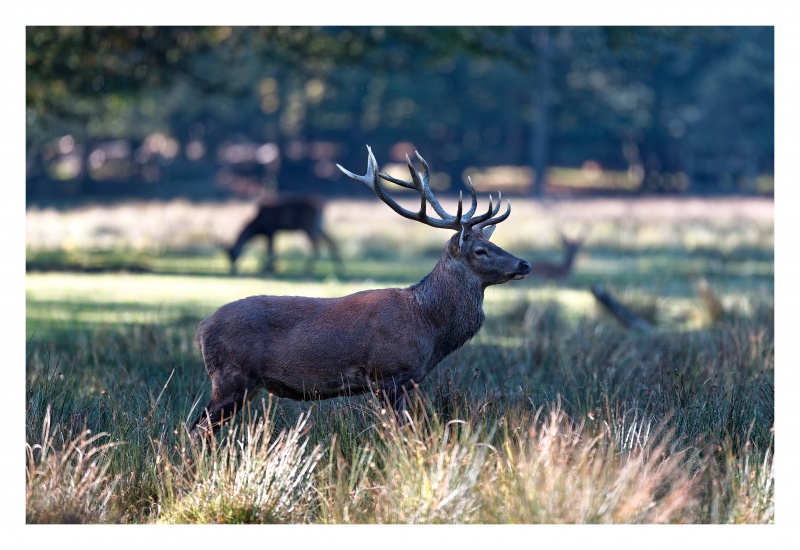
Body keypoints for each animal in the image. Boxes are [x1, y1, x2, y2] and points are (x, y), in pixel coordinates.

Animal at [189, 148, 532, 440]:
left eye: (492, 243)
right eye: (480, 251)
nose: (524, 263)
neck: (429, 327)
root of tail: (202, 328)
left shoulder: (405, 383)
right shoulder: (387, 375)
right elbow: (399, 435)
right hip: (231, 377)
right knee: (197, 430)